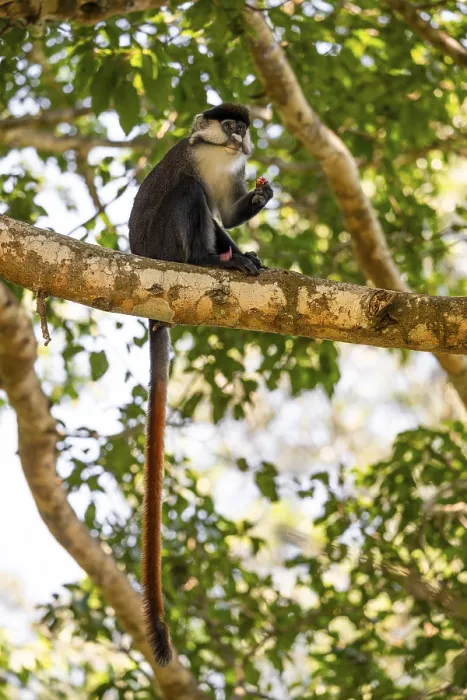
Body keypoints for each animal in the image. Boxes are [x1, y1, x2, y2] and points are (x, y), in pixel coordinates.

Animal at [128, 103, 273, 666]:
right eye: (228, 125)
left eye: (242, 128)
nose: (238, 137)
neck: (217, 155)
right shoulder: (190, 158)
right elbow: (195, 196)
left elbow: (227, 216)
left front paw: (260, 199)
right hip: (162, 243)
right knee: (190, 201)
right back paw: (203, 262)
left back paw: (236, 259)